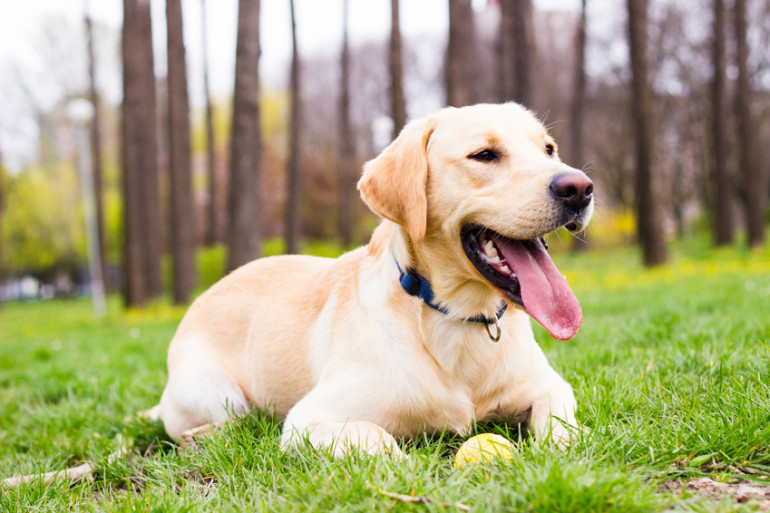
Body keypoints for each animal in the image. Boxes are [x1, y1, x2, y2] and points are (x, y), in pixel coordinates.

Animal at [154, 102, 588, 454]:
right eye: (484, 155)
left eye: (549, 149)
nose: (580, 187)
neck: (458, 317)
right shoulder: (308, 420)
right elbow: (376, 437)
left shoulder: (550, 386)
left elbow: (561, 421)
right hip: (215, 391)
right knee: (226, 421)